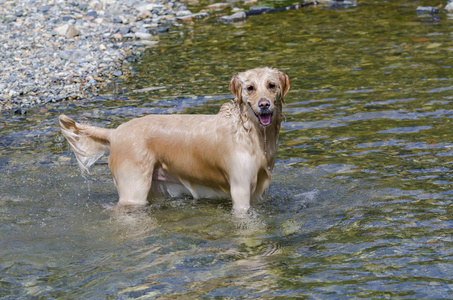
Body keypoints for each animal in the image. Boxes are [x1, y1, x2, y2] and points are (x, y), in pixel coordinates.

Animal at [59, 68, 290, 213]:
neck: (250, 133)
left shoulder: (259, 190)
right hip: (133, 189)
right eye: (250, 88)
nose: (264, 105)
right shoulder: (240, 188)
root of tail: (115, 132)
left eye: (271, 85)